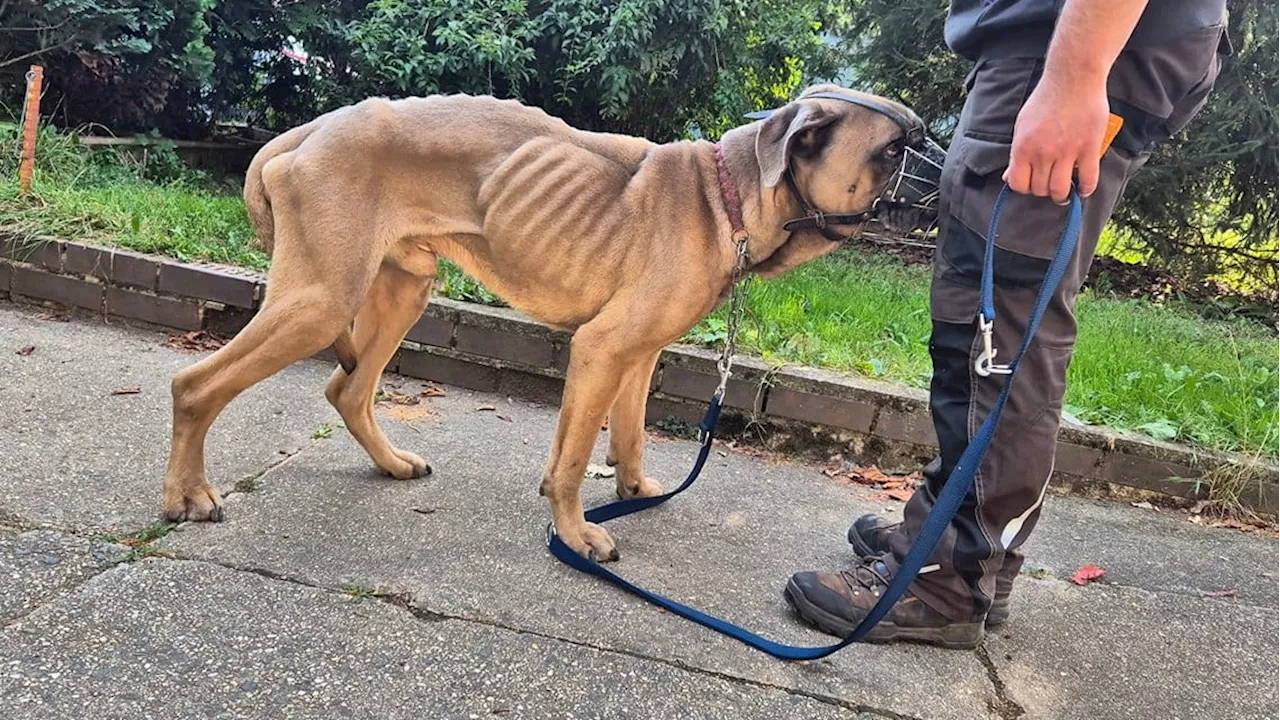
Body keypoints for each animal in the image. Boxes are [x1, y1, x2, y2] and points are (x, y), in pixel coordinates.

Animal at [162, 85, 921, 561]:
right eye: (893, 149)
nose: (931, 180)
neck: (728, 194)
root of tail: (310, 129)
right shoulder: (602, 348)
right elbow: (575, 458)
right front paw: (577, 536)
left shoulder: (637, 354)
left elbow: (625, 435)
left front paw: (633, 492)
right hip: (320, 302)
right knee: (195, 385)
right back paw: (188, 495)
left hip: (402, 290)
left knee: (348, 389)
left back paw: (391, 463)